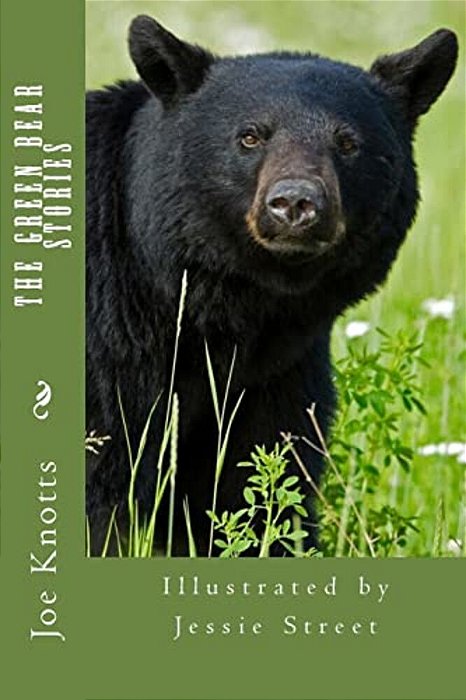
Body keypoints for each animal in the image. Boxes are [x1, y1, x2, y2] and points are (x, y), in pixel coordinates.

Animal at [86, 15, 458, 556]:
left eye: (348, 142)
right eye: (250, 137)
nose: (296, 204)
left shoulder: (278, 374)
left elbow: (262, 480)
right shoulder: (109, 351)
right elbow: (104, 486)